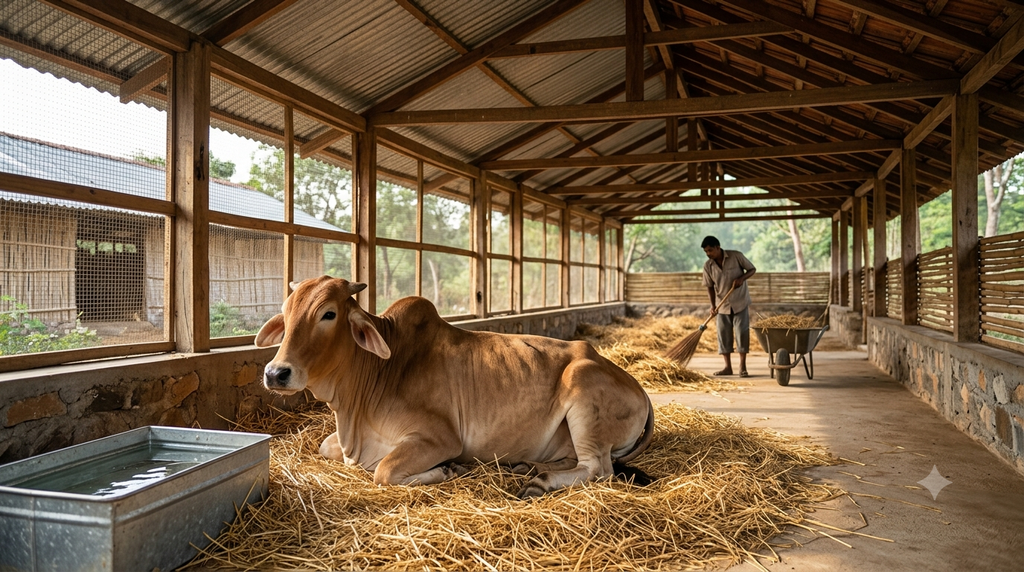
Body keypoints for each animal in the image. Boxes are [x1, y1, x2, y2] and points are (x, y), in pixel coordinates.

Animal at [255, 276, 654, 498]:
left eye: (329, 314)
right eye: (285, 313)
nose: (276, 373)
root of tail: (636, 386)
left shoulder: (441, 438)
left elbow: (384, 471)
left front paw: (448, 470)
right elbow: (327, 447)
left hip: (583, 393)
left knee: (597, 470)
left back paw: (538, 482)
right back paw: (525, 467)